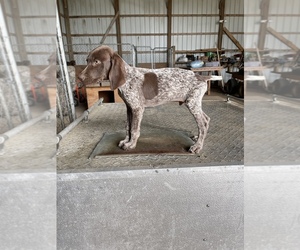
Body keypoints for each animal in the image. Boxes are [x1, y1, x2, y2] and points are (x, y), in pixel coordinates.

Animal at [79, 45, 211, 153]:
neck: (127, 77)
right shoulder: (129, 108)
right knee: (206, 119)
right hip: (194, 103)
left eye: (96, 61)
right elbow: (128, 127)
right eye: (87, 60)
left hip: (192, 103)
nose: (79, 77)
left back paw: (197, 146)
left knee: (203, 124)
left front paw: (131, 145)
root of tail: (200, 76)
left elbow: (134, 129)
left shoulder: (137, 108)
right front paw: (126, 141)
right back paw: (197, 138)